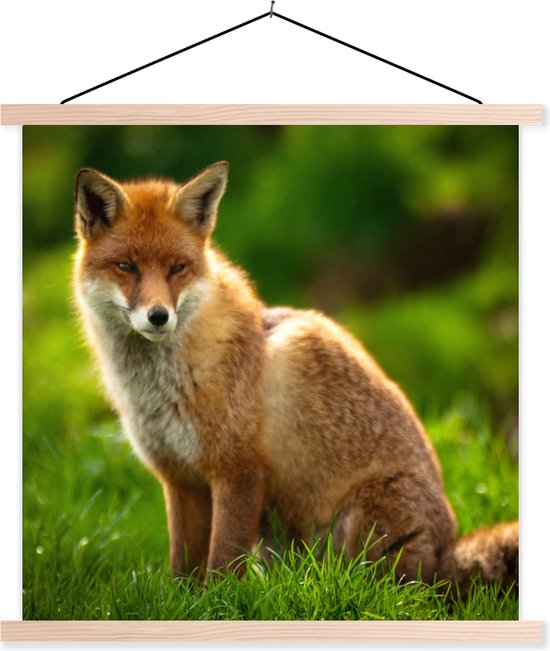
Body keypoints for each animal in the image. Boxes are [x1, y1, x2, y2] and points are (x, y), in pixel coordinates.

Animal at [73, 161, 518, 594]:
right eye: (126, 267)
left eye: (177, 269)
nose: (159, 316)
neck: (160, 389)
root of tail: (445, 552)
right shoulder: (180, 479)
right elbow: (182, 567)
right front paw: (181, 602)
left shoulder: (239, 470)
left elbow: (222, 563)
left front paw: (217, 603)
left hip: (359, 526)